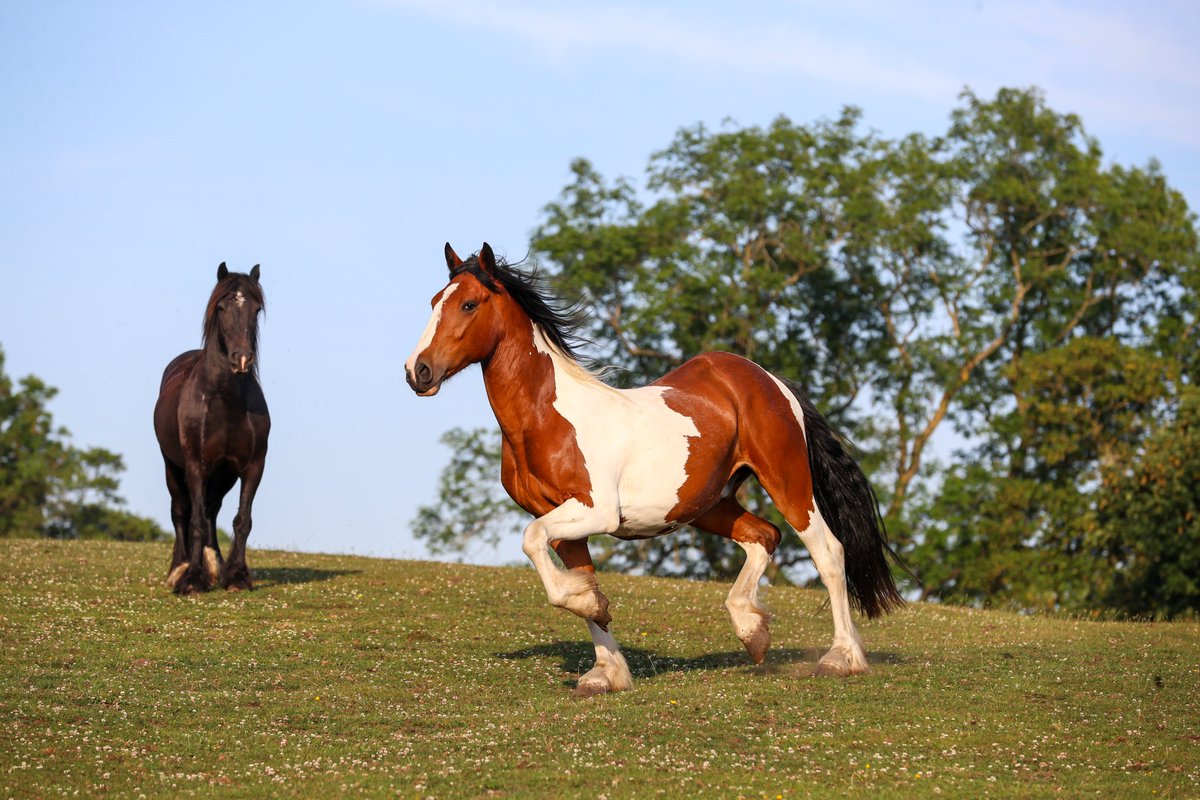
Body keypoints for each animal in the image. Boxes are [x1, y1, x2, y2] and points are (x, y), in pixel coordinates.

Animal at [154, 263, 270, 595]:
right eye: (221, 306)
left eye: (256, 309)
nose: (242, 358)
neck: (226, 402)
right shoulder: (195, 465)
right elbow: (193, 520)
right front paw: (192, 579)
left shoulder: (253, 466)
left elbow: (242, 519)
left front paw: (237, 576)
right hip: (173, 467)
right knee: (182, 511)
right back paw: (179, 569)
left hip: (223, 474)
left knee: (211, 510)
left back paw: (214, 563)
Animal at [405, 243, 903, 696]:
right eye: (432, 302)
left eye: (469, 304)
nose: (417, 372)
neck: (546, 419)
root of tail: (769, 380)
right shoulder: (561, 521)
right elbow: (579, 577)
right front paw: (604, 663)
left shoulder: (594, 511)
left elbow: (533, 544)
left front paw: (592, 612)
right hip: (708, 504)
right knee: (764, 537)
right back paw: (752, 631)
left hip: (788, 483)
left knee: (829, 553)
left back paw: (841, 658)